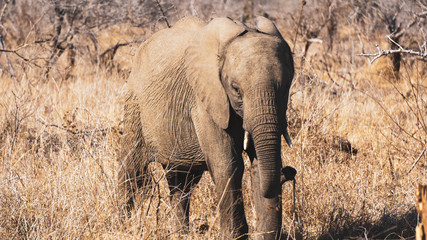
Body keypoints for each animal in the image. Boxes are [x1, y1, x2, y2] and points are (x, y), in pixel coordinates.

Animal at [118, 15, 296, 239]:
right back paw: (123, 226)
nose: (289, 172)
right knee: (133, 170)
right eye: (236, 89)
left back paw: (180, 234)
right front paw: (234, 236)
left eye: (286, 86)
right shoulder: (205, 99)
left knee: (181, 182)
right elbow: (228, 164)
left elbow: (259, 161)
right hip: (134, 104)